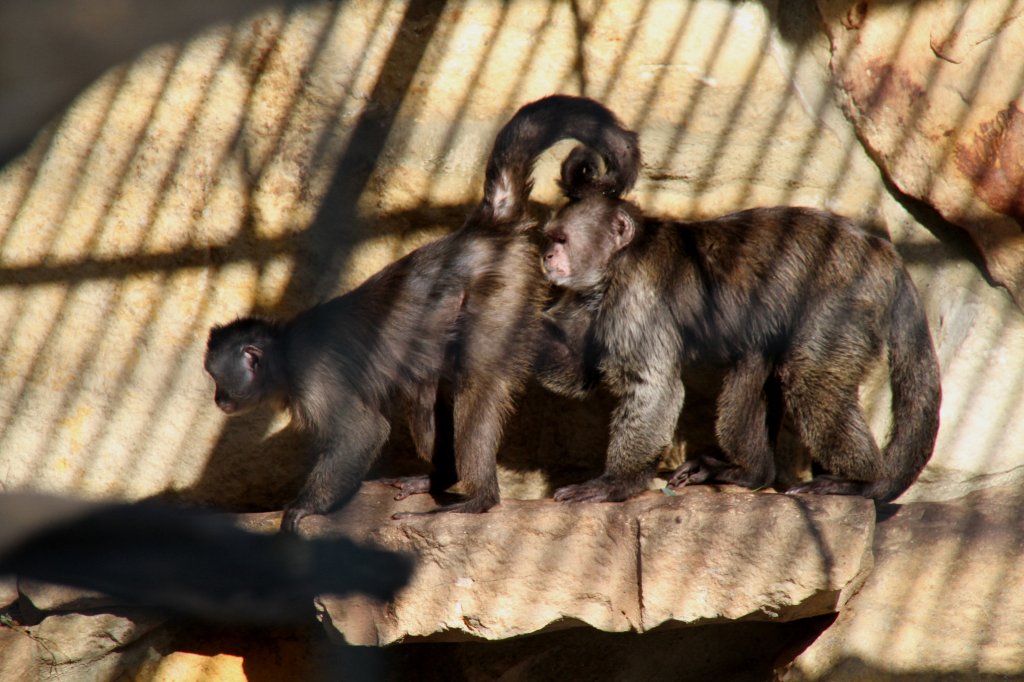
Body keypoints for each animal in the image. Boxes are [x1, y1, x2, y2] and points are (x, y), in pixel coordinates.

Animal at [203, 95, 638, 532]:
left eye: (217, 377)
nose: (218, 398)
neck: (285, 351)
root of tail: (480, 231)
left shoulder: (313, 375)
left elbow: (362, 433)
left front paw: (303, 508)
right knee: (426, 387)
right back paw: (440, 478)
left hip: (501, 286)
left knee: (475, 380)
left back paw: (479, 498)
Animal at [536, 144, 942, 503]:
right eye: (551, 239)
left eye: (561, 239)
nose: (547, 256)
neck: (618, 263)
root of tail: (880, 250)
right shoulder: (588, 297)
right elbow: (574, 370)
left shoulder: (636, 293)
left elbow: (653, 388)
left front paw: (617, 484)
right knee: (758, 361)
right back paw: (752, 473)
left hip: (845, 299)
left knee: (807, 376)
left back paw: (858, 481)